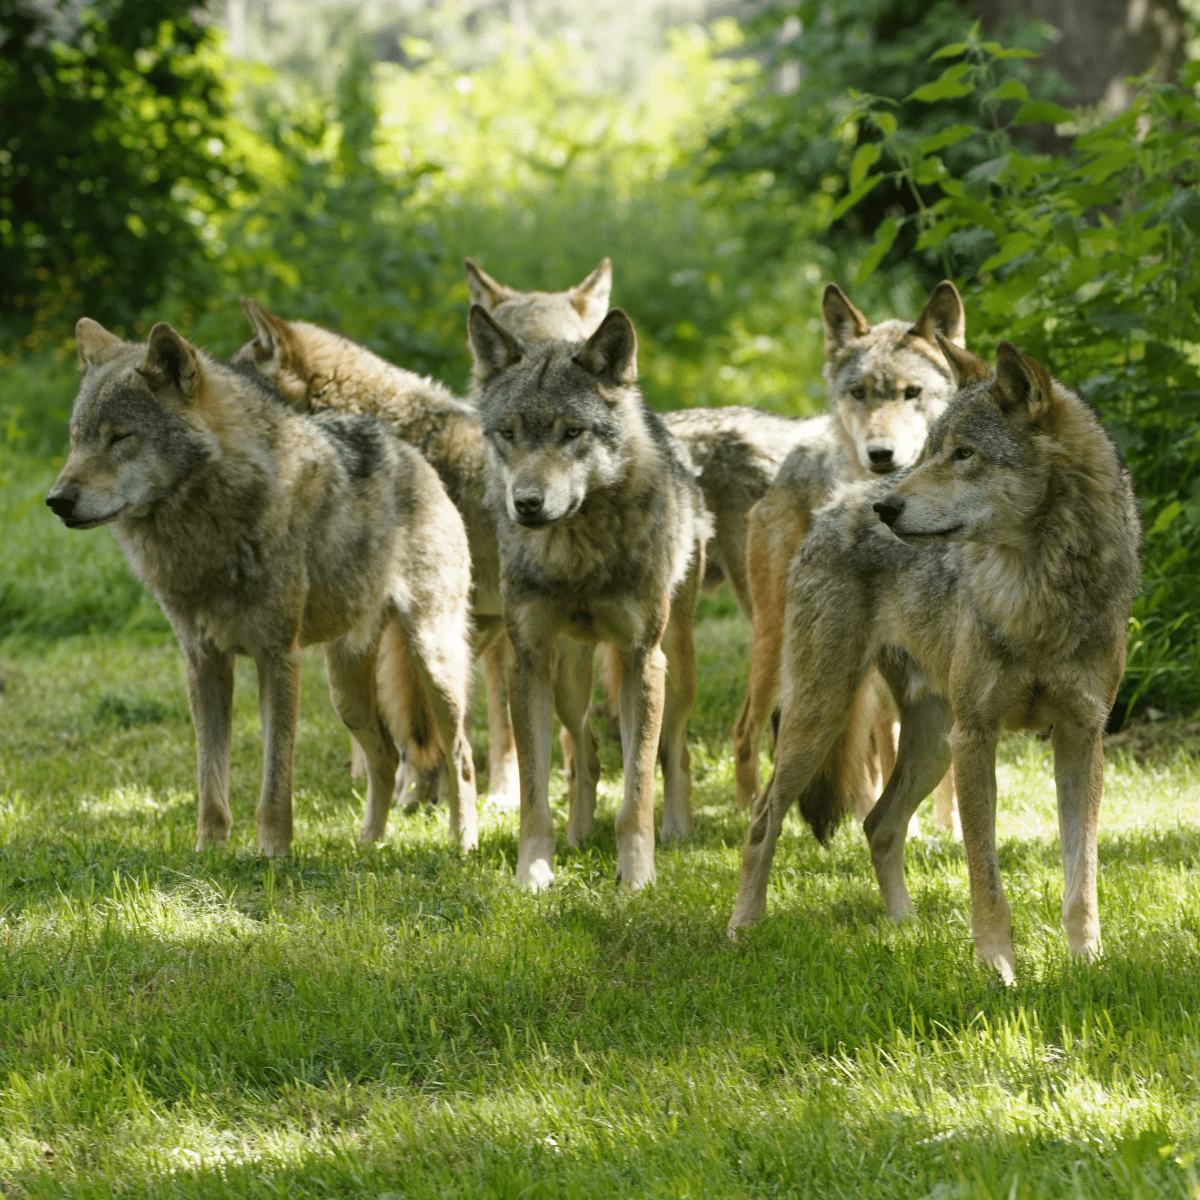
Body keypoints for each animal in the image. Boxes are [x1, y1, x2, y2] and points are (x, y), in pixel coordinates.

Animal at [47, 318, 479, 856]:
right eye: (76, 439)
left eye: (120, 437)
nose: (56, 501)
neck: (207, 530)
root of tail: (413, 455)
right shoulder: (204, 663)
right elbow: (210, 783)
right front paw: (209, 855)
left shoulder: (277, 658)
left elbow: (276, 781)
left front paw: (273, 854)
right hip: (346, 693)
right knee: (385, 758)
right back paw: (368, 846)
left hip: (432, 664)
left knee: (461, 755)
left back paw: (463, 843)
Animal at [468, 304, 710, 891]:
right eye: (508, 433)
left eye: (572, 432)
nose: (526, 503)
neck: (576, 557)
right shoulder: (527, 664)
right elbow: (535, 794)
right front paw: (533, 874)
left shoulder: (642, 659)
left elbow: (637, 789)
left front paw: (637, 876)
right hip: (567, 679)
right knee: (586, 755)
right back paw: (578, 835)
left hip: (675, 667)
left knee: (673, 752)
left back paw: (677, 831)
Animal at [728, 340, 1141, 982]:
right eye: (929, 453)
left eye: (964, 454)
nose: (885, 508)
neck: (1036, 590)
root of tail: (835, 503)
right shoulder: (977, 737)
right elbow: (986, 880)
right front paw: (999, 972)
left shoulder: (1081, 736)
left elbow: (1082, 878)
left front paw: (1086, 965)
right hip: (822, 718)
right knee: (763, 818)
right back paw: (743, 928)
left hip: (927, 744)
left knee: (878, 824)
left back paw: (904, 926)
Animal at [731, 280, 966, 812]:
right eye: (859, 393)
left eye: (911, 392)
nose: (880, 454)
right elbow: (886, 754)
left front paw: (948, 827)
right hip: (786, 653)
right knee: (746, 732)